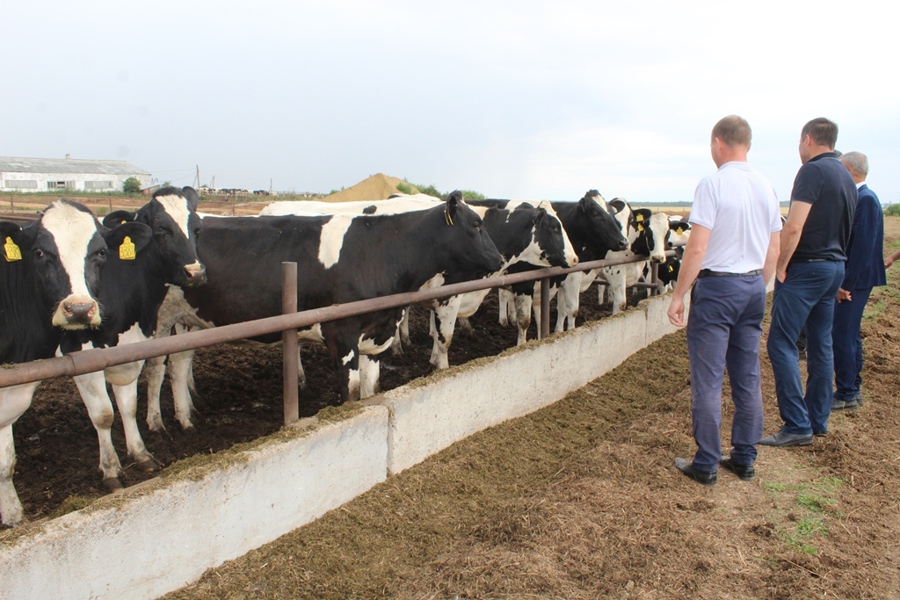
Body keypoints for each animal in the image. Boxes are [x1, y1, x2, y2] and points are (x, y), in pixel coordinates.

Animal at [59, 186, 207, 488]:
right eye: (161, 228)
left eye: (196, 228)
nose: (196, 272)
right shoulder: (82, 356)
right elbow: (104, 414)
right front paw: (111, 470)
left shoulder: (131, 347)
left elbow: (127, 405)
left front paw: (140, 453)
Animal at [144, 195, 502, 428]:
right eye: (476, 224)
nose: (499, 259)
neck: (380, 251)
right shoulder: (342, 336)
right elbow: (351, 393)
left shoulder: (375, 335)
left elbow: (371, 390)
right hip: (158, 320)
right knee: (155, 370)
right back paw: (153, 431)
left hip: (188, 320)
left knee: (179, 365)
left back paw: (188, 417)